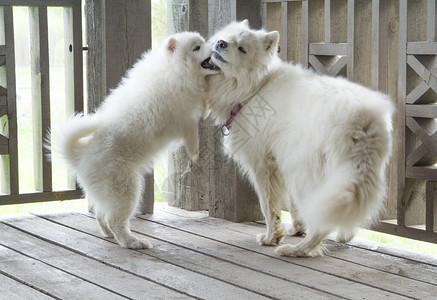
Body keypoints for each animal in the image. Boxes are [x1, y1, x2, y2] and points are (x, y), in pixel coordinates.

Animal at [50, 32, 218, 248]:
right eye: (196, 47)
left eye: (203, 42)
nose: (216, 45)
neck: (174, 69)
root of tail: (79, 156)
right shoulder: (179, 115)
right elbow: (191, 129)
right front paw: (194, 150)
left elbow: (202, 106)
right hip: (125, 189)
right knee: (115, 220)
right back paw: (132, 242)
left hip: (109, 192)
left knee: (101, 215)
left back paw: (110, 234)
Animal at [205, 20, 396, 255]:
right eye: (224, 38)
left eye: (242, 49)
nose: (220, 43)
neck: (256, 88)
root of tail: (363, 118)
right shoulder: (283, 164)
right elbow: (294, 206)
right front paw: (296, 229)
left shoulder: (263, 166)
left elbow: (268, 206)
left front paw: (271, 237)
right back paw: (341, 235)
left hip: (308, 173)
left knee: (321, 221)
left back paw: (296, 250)